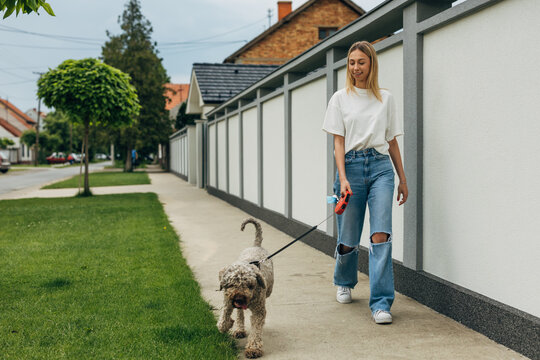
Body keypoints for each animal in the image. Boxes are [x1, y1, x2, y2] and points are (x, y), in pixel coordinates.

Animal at [216, 218, 272, 358]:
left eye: (250, 285)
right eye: (231, 284)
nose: (239, 299)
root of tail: (256, 245)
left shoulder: (259, 311)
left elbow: (256, 331)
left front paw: (253, 348)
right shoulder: (227, 302)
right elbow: (222, 322)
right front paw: (229, 323)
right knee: (240, 313)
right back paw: (239, 329)